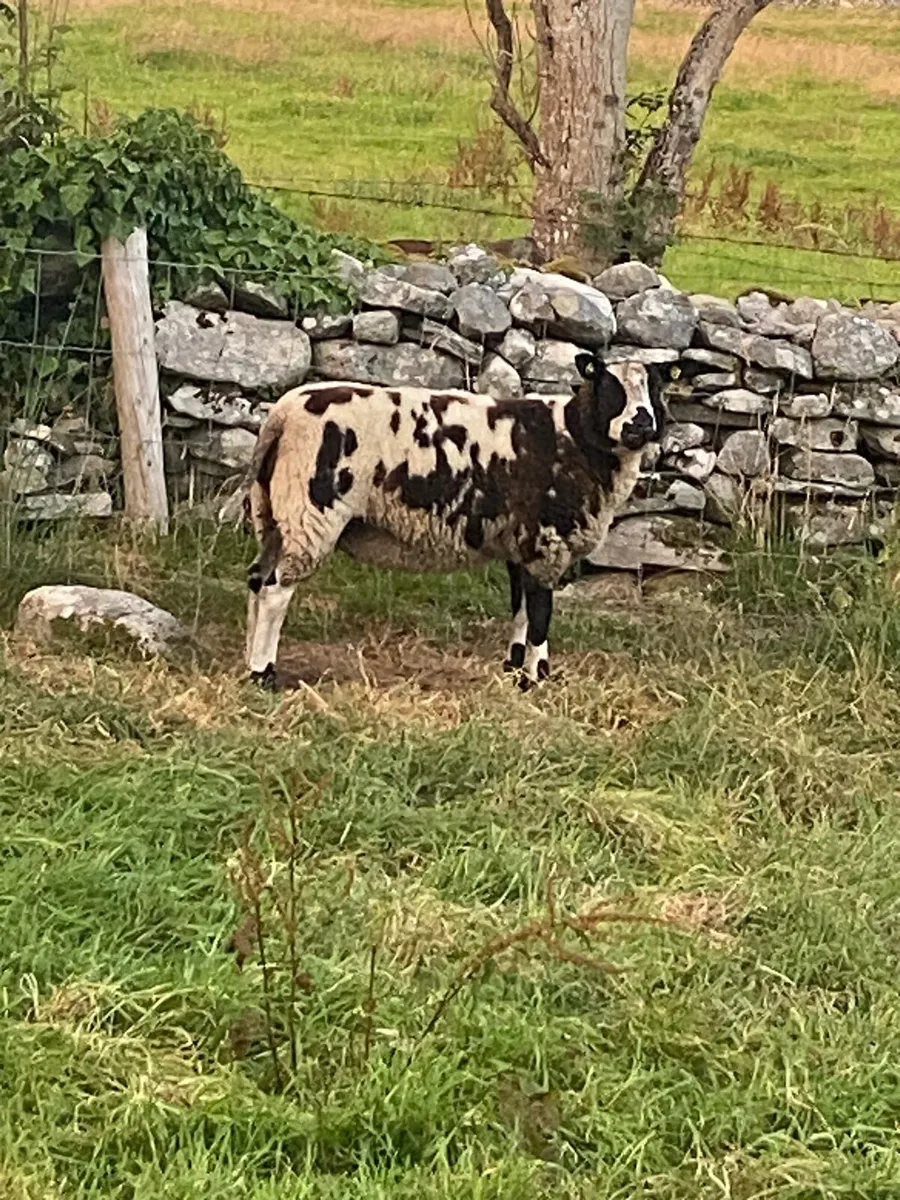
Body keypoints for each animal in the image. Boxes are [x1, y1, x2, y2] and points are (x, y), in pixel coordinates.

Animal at [244, 349, 673, 690]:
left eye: (655, 387)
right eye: (608, 385)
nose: (642, 423)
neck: (577, 439)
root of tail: (284, 414)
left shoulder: (519, 542)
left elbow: (520, 607)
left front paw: (513, 666)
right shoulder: (544, 542)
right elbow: (539, 615)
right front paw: (536, 678)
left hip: (274, 515)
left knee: (256, 580)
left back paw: (249, 660)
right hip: (311, 513)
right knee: (276, 590)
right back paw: (264, 672)